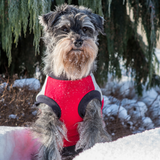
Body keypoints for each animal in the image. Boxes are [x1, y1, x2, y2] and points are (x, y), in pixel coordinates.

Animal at [31, 3, 112, 160]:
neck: (70, 76)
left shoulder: (92, 115)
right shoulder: (49, 117)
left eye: (85, 29)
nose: (78, 41)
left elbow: (91, 139)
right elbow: (49, 144)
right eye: (64, 29)